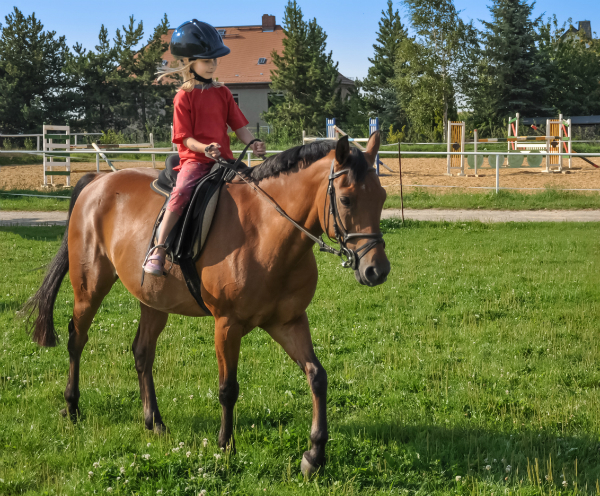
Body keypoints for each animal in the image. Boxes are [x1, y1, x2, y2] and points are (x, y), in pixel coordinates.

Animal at [24, 133, 390, 476]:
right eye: (346, 199)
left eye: (382, 197)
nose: (377, 270)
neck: (266, 232)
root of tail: (96, 182)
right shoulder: (227, 325)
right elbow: (228, 388)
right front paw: (225, 445)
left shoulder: (289, 322)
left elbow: (317, 377)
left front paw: (314, 454)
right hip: (90, 287)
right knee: (77, 340)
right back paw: (72, 408)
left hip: (153, 302)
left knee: (142, 353)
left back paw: (154, 421)